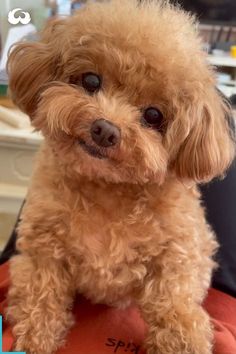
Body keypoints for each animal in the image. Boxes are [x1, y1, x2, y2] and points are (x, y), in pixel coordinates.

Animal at [5, 0, 234, 354]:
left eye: (153, 115)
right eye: (91, 80)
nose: (105, 129)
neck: (108, 189)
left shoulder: (178, 252)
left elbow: (174, 299)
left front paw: (184, 340)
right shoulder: (43, 248)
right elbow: (41, 293)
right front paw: (35, 337)